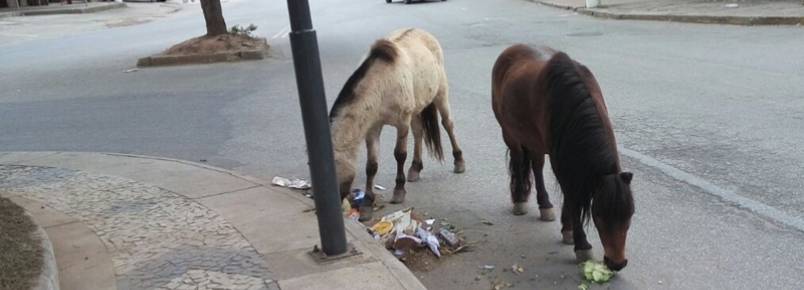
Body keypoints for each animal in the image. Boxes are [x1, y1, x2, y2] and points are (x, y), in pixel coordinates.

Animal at [332, 28, 468, 221]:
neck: (382, 83)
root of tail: (424, 33)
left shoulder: (402, 123)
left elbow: (400, 154)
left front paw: (398, 191)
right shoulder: (373, 128)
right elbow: (371, 166)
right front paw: (367, 204)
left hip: (440, 94)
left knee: (448, 125)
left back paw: (459, 161)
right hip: (417, 108)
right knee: (419, 132)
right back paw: (415, 168)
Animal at [490, 44, 636, 270]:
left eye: (629, 214)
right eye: (599, 215)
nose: (616, 263)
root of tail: (510, 51)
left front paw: (567, 229)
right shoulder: (561, 162)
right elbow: (572, 195)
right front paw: (581, 244)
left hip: (535, 141)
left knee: (536, 166)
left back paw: (545, 205)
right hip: (509, 133)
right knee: (519, 159)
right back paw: (521, 201)